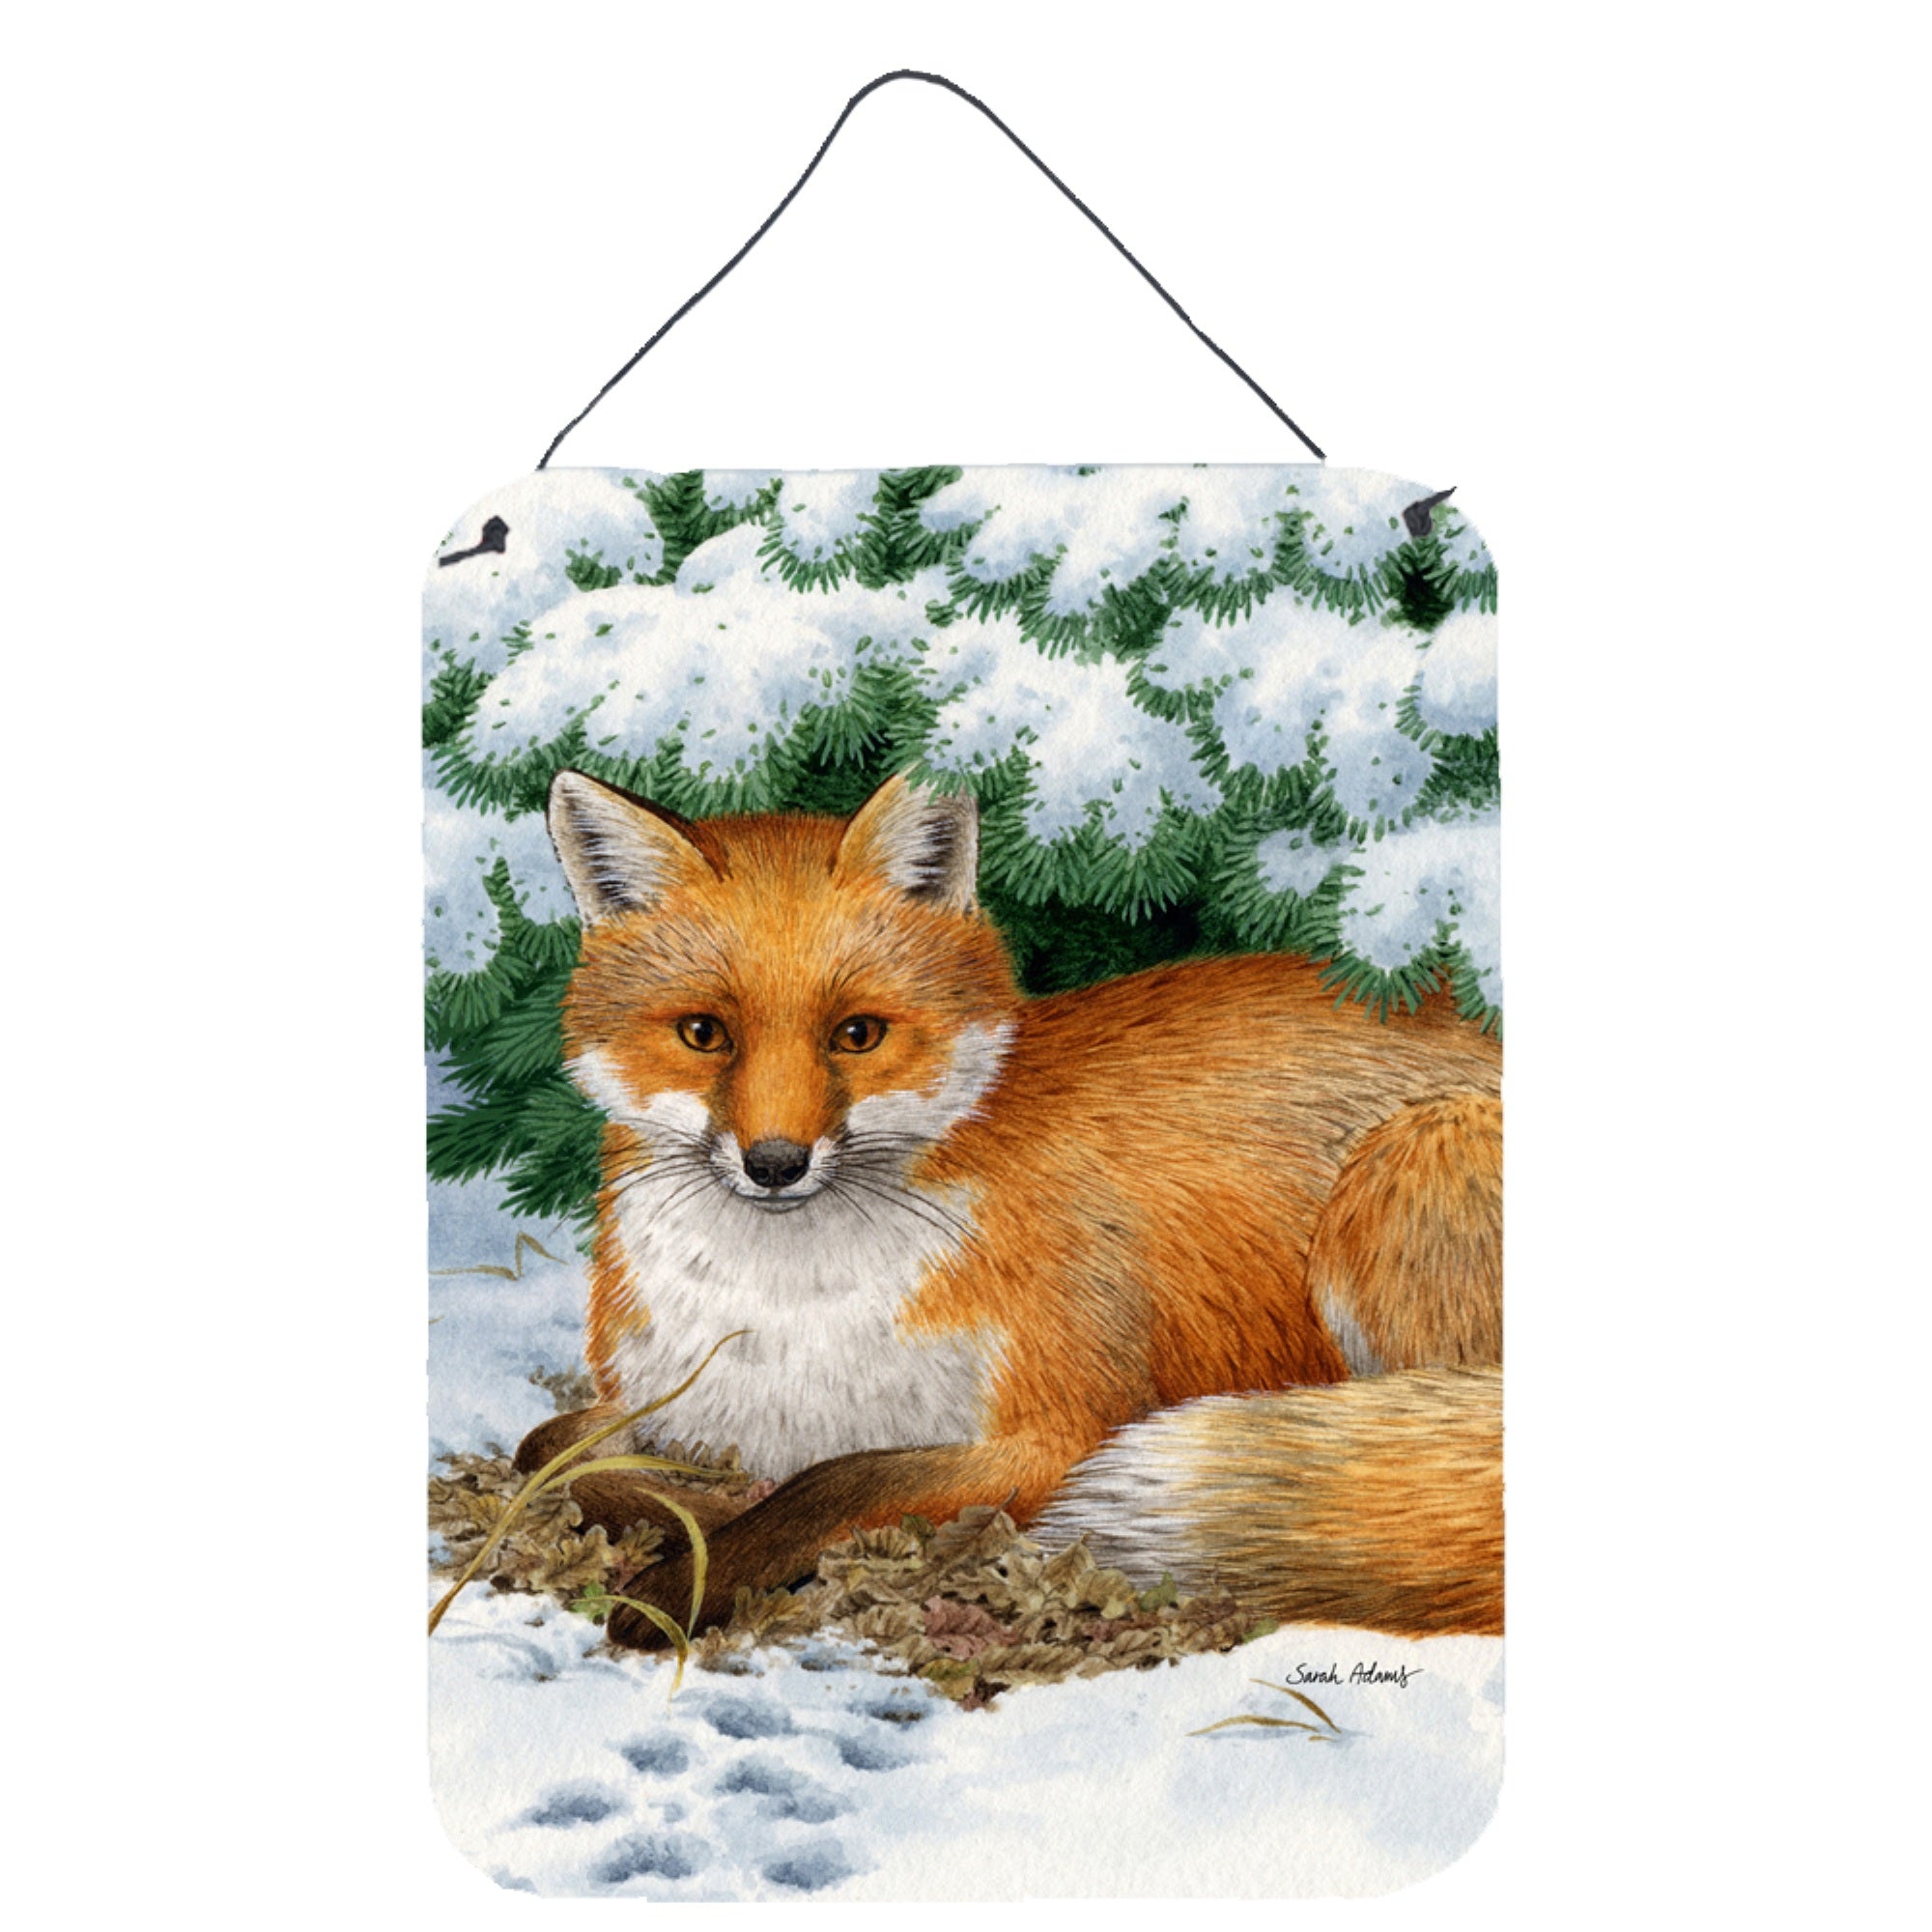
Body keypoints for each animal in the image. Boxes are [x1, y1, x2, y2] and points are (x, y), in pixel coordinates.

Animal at [515, 768, 1503, 1648]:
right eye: (703, 1034)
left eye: (858, 1035)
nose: (776, 1165)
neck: (789, 1318)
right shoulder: (661, 1401)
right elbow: (549, 1456)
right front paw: (693, 1505)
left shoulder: (1062, 1435)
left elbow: (835, 1485)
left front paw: (681, 1584)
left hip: (1408, 1162)